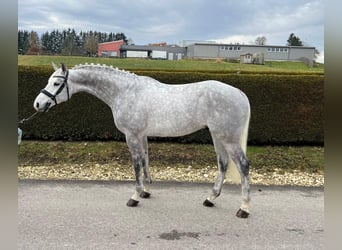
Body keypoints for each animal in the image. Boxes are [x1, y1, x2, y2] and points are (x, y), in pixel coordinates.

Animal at [33, 63, 250, 218]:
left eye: (56, 83)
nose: (38, 104)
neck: (125, 92)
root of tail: (240, 94)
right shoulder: (142, 135)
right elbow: (145, 160)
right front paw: (146, 191)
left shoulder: (132, 135)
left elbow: (136, 164)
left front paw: (135, 196)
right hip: (217, 136)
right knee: (223, 164)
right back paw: (210, 199)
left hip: (228, 139)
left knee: (243, 166)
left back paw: (244, 208)